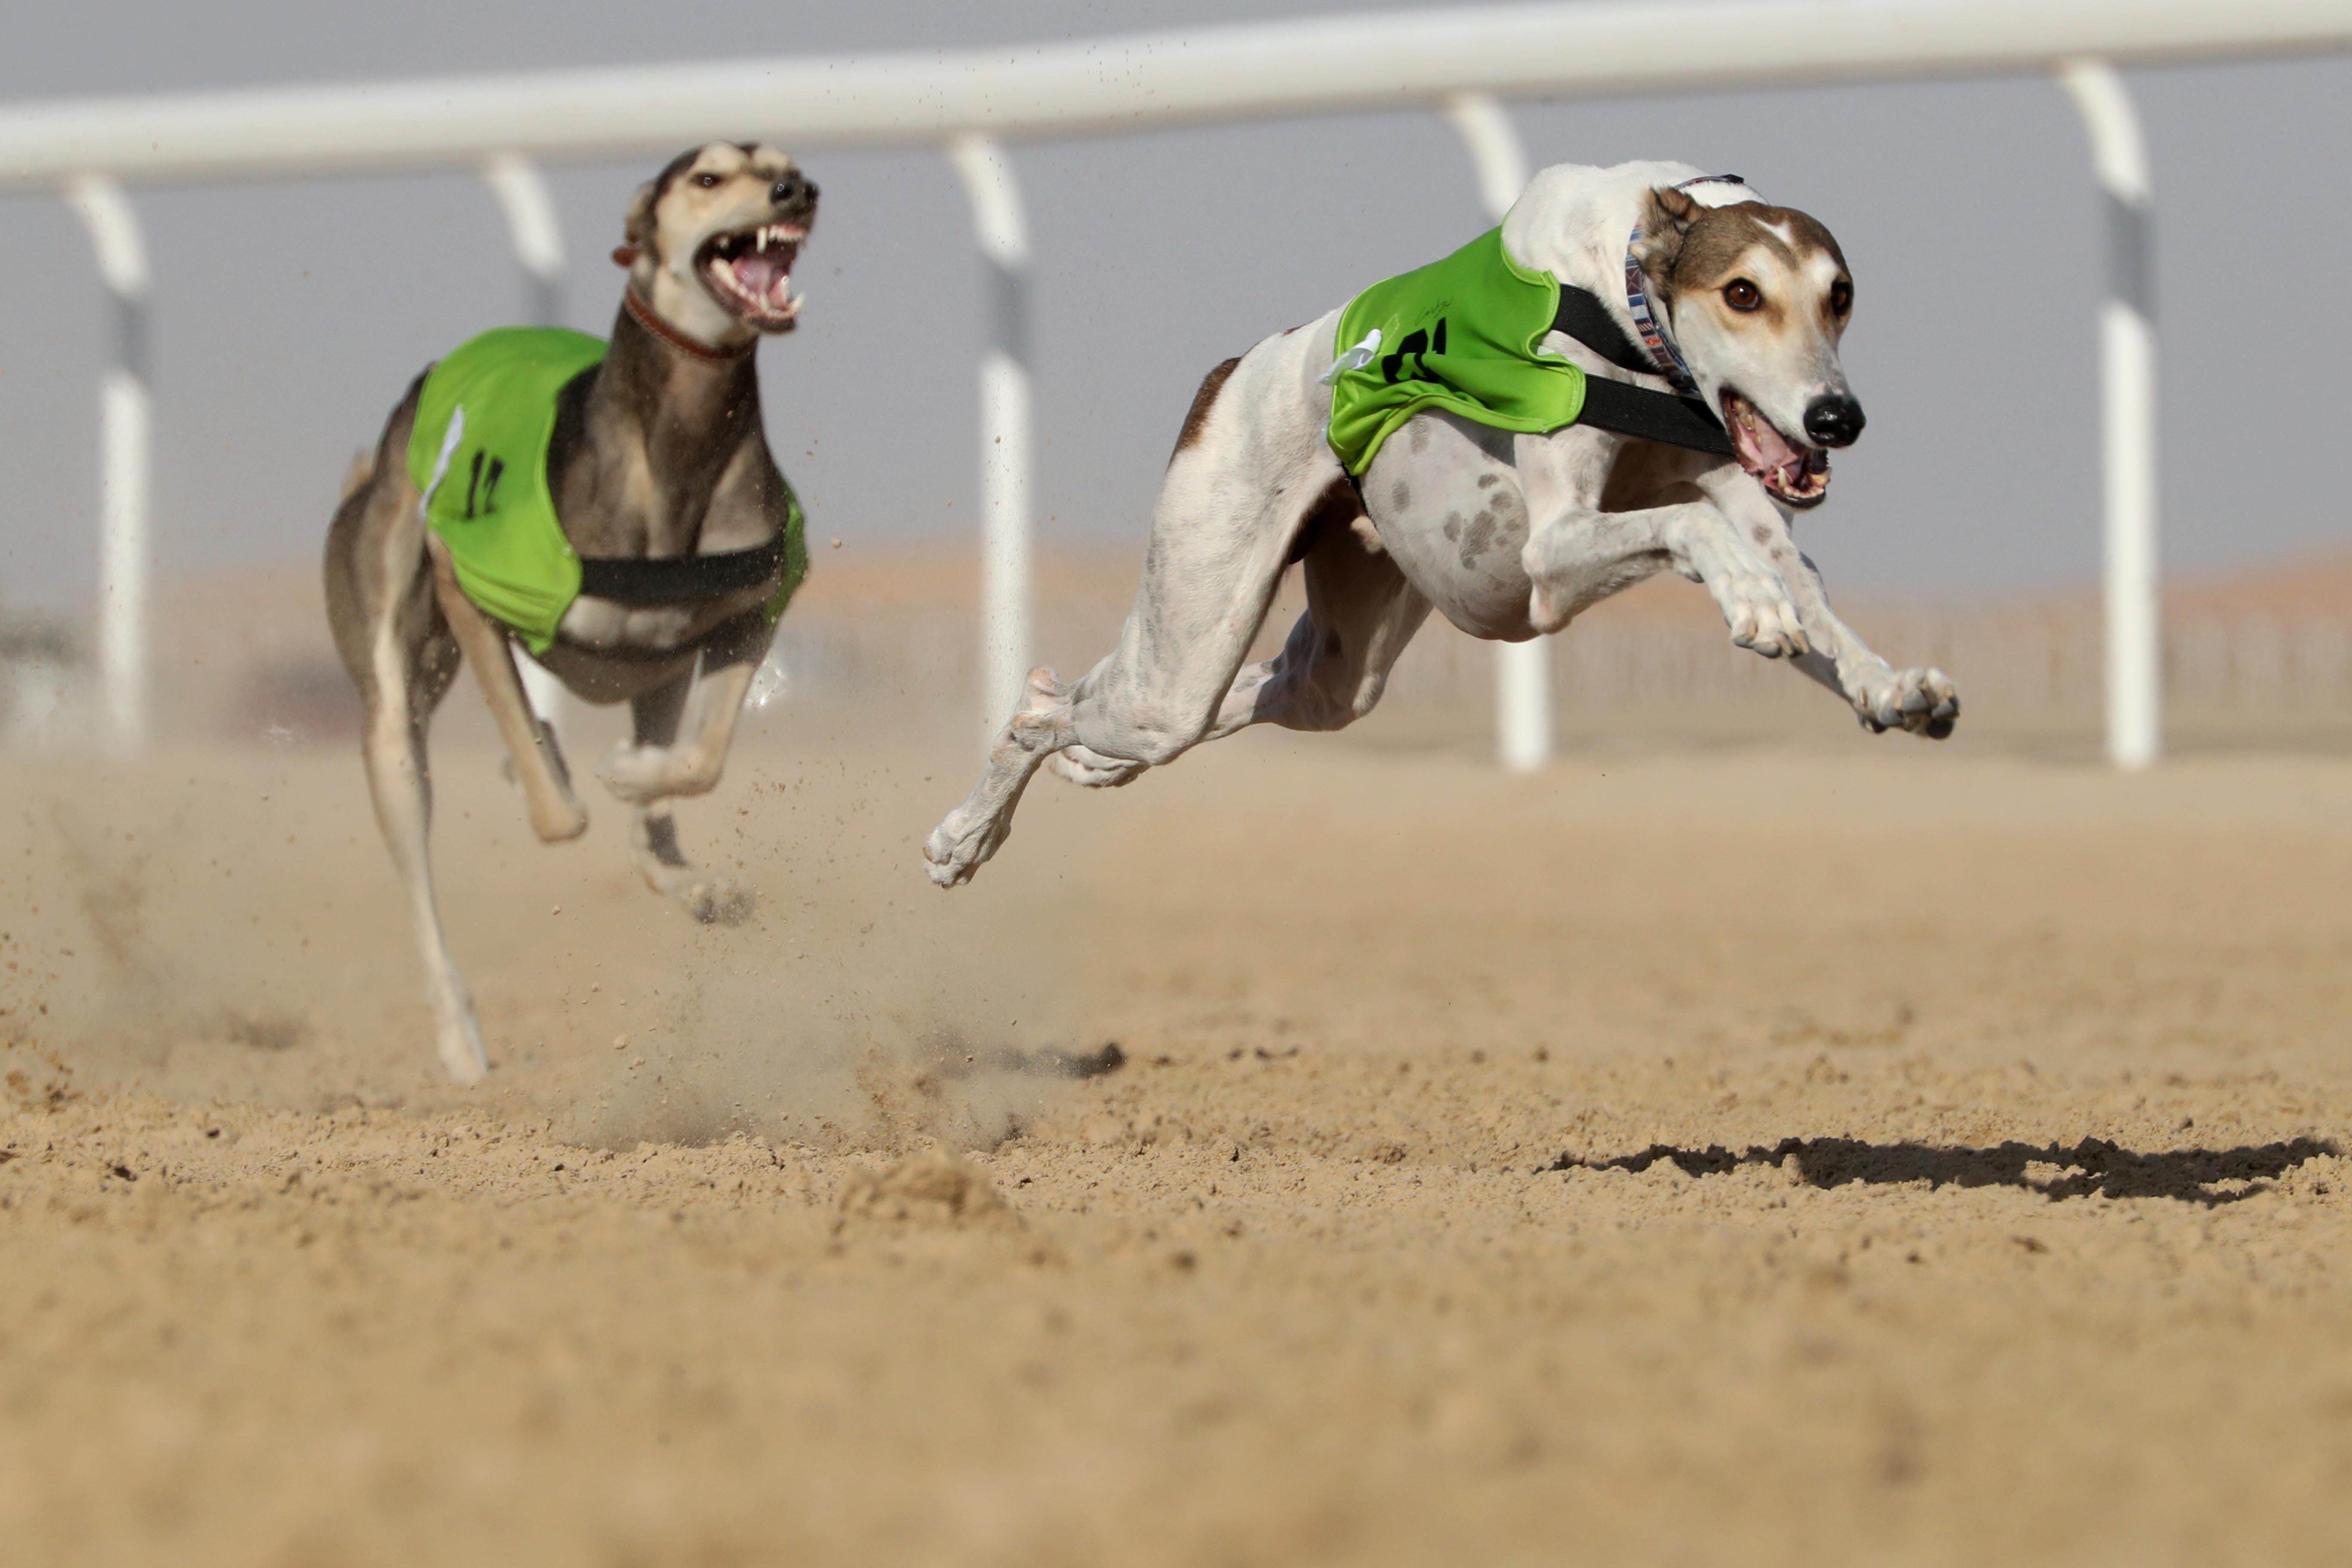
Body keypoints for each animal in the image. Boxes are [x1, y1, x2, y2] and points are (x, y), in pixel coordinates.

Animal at [325, 141, 818, 1086]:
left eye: (785, 160)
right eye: (707, 178)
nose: (796, 192)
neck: (676, 455)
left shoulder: (756, 609)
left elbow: (698, 763)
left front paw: (631, 773)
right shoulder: (470, 592)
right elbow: (561, 813)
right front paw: (556, 765)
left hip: (657, 672)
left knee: (653, 823)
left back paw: (691, 876)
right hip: (393, 696)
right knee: (418, 836)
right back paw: (460, 1037)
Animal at [926, 167, 1957, 893]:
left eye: (1841, 293)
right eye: (1743, 293)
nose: (1837, 419)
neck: (1624, 291)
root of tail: (1233, 370)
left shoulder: (1742, 488)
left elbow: (1805, 585)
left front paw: (1890, 684)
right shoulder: (1550, 554)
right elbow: (1697, 531)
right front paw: (1749, 599)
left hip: (1332, 671)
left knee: (1211, 690)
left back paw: (1088, 767)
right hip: (1183, 654)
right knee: (1043, 711)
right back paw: (963, 839)